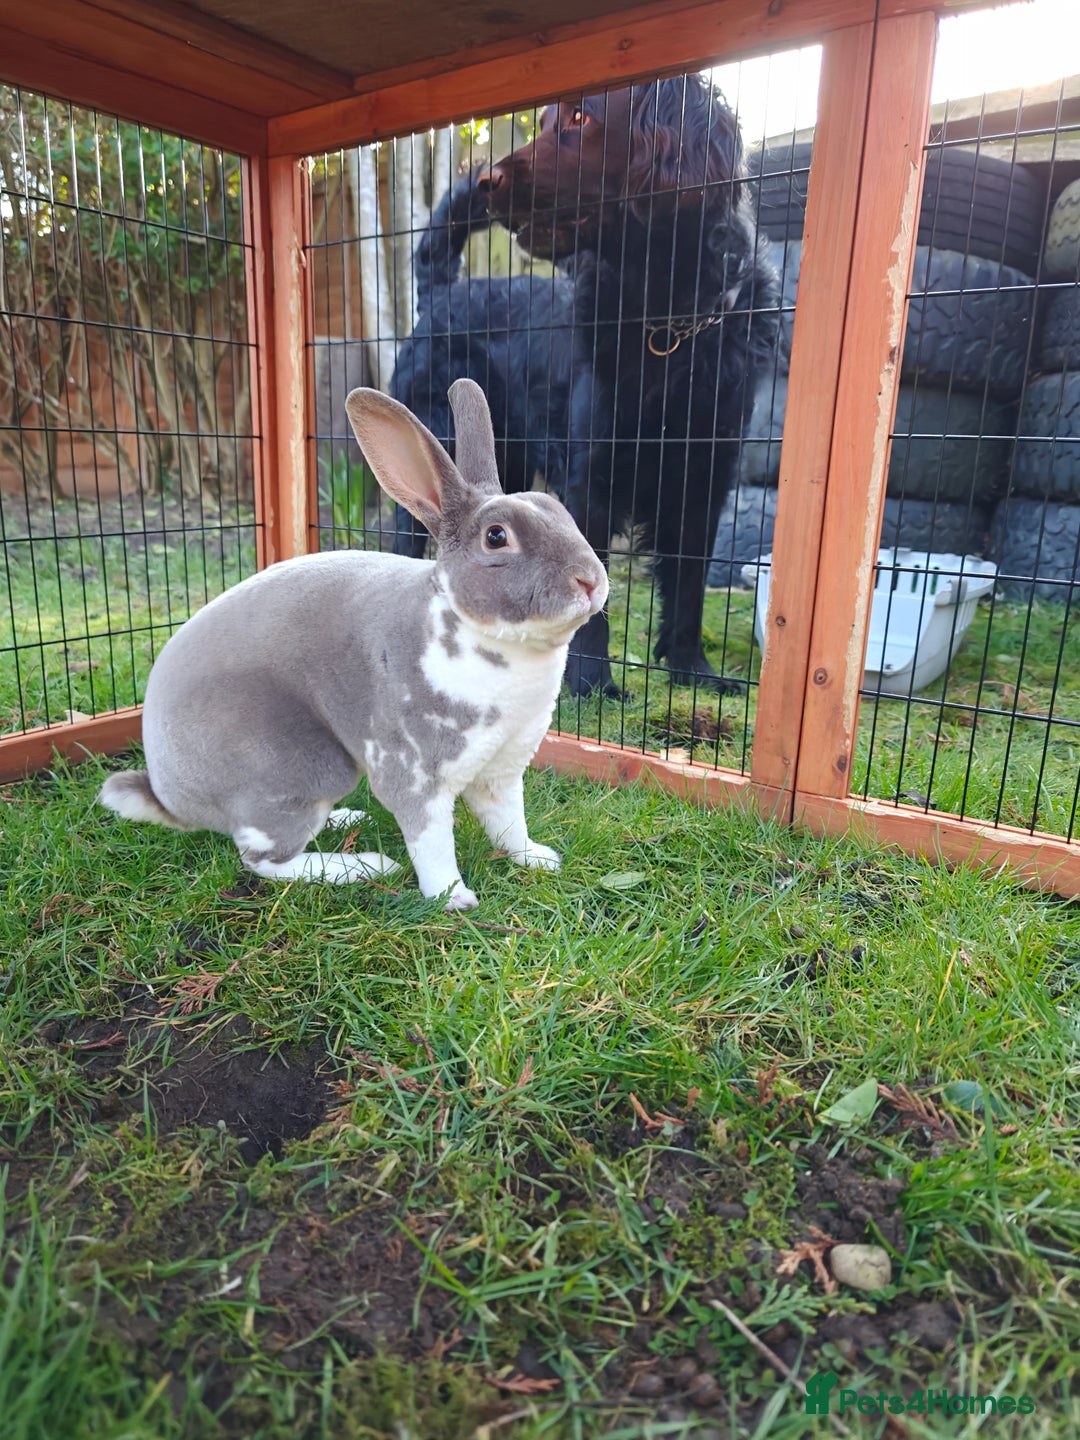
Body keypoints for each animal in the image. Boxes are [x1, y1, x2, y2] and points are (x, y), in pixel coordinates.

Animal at [99, 379, 608, 911]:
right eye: (496, 537)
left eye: (559, 511)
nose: (590, 580)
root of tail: (170, 797)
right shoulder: (414, 776)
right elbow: (431, 843)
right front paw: (453, 898)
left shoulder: (502, 771)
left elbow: (509, 823)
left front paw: (538, 859)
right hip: (295, 771)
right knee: (263, 859)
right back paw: (365, 866)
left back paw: (347, 820)